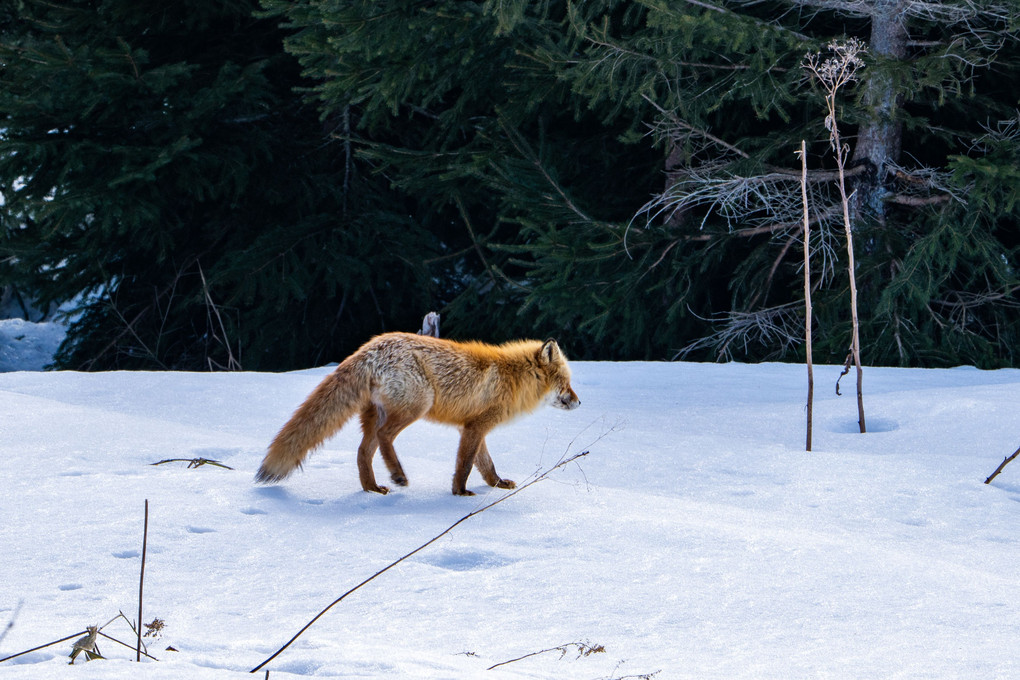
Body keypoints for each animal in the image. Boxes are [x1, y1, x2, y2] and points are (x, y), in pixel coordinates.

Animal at [253, 334, 579, 495]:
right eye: (566, 384)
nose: (579, 402)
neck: (512, 377)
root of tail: (367, 349)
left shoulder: (472, 426)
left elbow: (486, 465)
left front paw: (497, 485)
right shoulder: (476, 427)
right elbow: (464, 465)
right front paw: (460, 493)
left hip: (376, 415)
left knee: (362, 452)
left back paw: (372, 488)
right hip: (416, 406)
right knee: (384, 438)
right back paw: (398, 475)